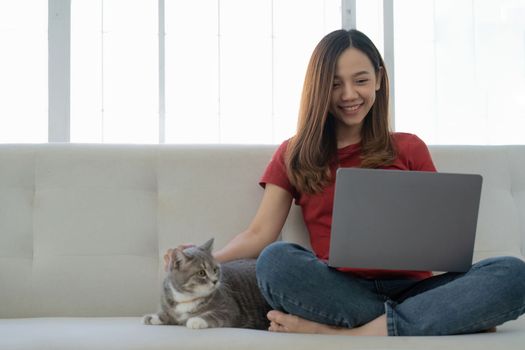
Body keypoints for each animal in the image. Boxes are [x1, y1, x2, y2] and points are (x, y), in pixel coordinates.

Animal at [142, 238, 270, 328]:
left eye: (215, 269)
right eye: (201, 273)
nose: (215, 281)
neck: (187, 298)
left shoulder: (231, 309)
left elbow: (215, 315)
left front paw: (196, 320)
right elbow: (168, 314)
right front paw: (152, 317)